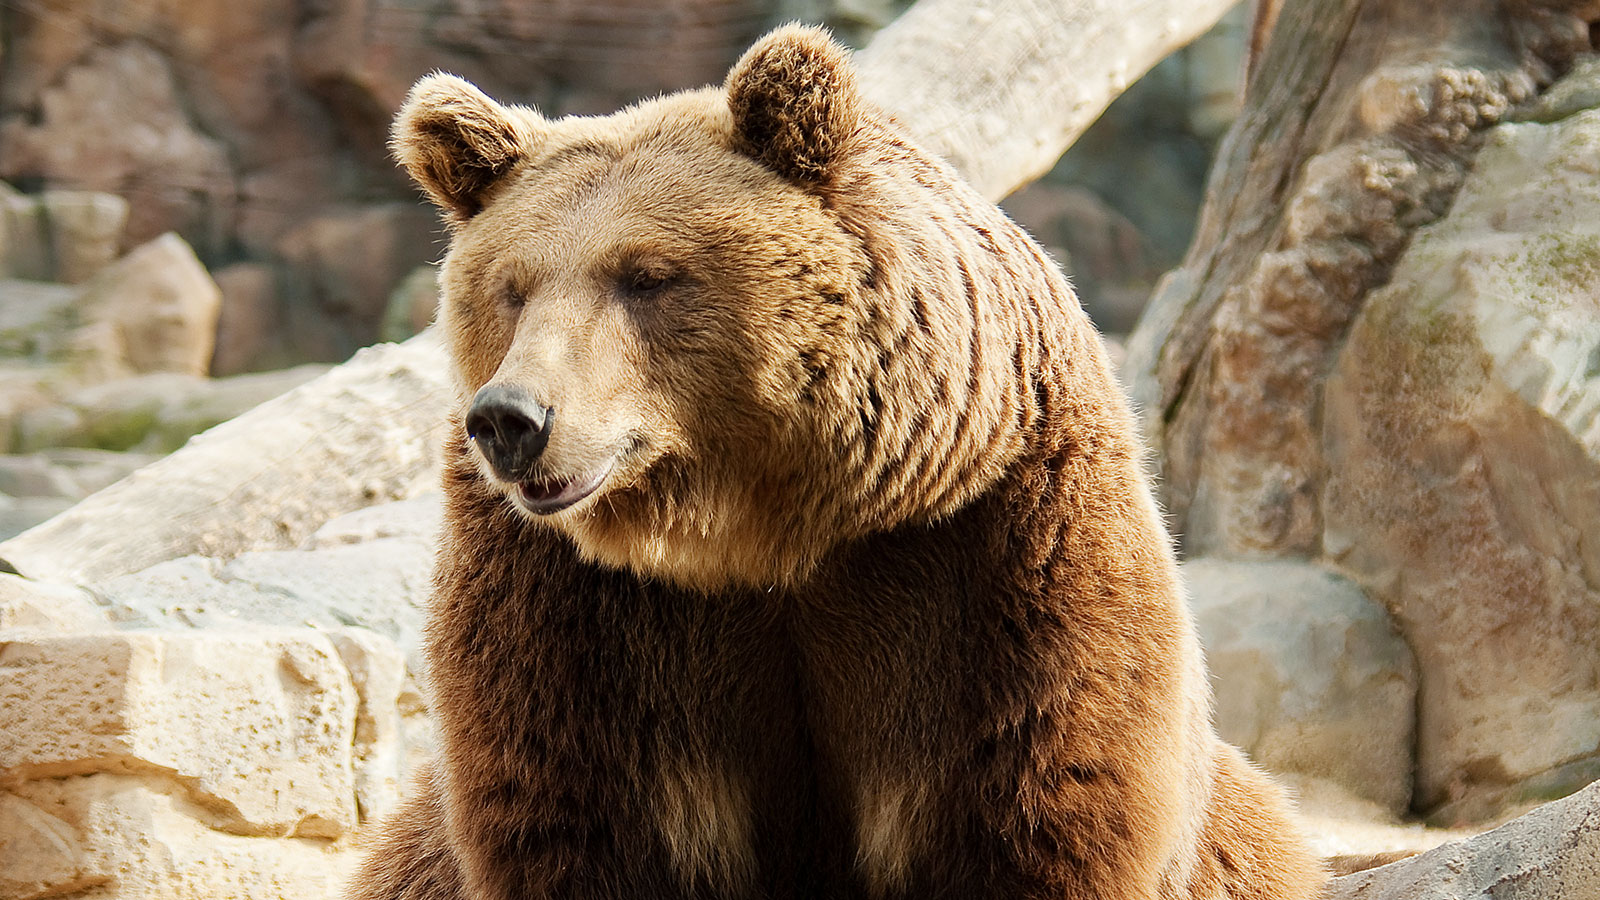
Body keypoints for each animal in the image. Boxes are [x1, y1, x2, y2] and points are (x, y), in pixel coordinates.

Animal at [350, 24, 1324, 890]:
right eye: (512, 289)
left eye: (647, 276)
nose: (512, 419)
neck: (765, 533)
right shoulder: (567, 603)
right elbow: (569, 807)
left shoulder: (1000, 542)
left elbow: (1042, 795)